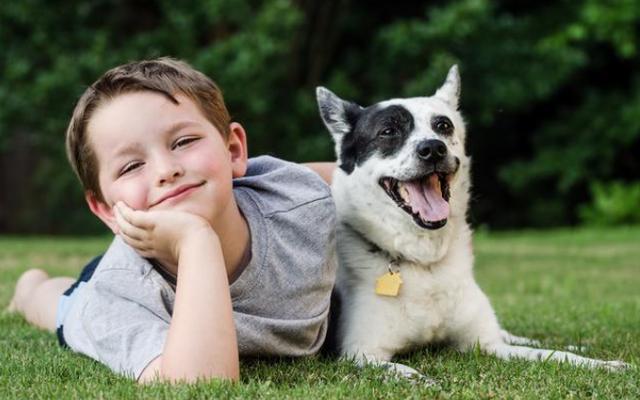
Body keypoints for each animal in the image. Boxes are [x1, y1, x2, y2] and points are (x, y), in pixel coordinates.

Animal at [318, 64, 628, 380]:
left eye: (443, 126)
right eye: (388, 131)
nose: (433, 149)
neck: (426, 263)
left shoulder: (487, 344)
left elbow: (554, 355)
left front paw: (602, 364)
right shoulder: (360, 353)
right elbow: (404, 372)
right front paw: (424, 382)